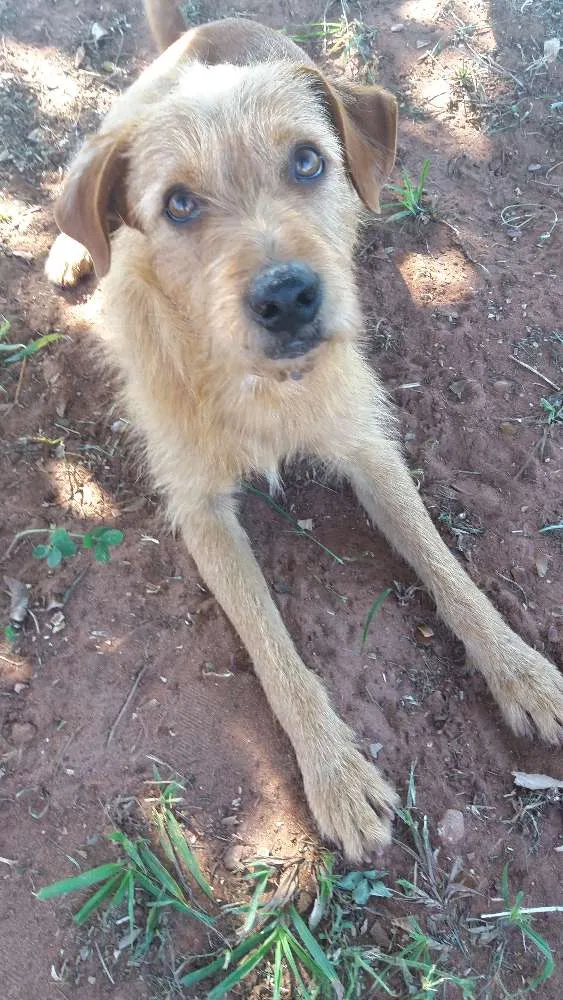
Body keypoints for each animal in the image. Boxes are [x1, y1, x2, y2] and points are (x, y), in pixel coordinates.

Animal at [45, 0, 563, 860]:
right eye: (178, 203)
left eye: (307, 162)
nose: (288, 296)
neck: (257, 383)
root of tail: (206, 30)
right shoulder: (200, 511)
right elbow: (271, 646)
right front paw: (334, 773)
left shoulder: (366, 445)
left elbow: (445, 566)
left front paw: (519, 669)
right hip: (107, 132)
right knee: (79, 199)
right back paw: (67, 243)